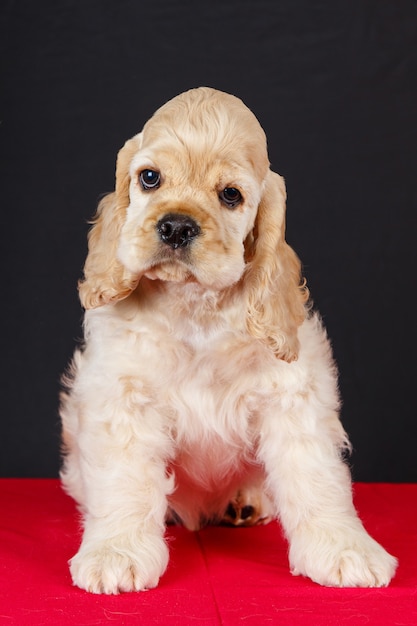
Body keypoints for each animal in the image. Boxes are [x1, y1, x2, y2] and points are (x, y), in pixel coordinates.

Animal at [59, 86, 396, 588]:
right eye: (149, 178)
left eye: (231, 195)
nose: (176, 226)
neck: (196, 307)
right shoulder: (123, 396)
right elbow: (124, 482)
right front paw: (115, 553)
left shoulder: (292, 394)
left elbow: (316, 478)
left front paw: (346, 550)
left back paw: (247, 501)